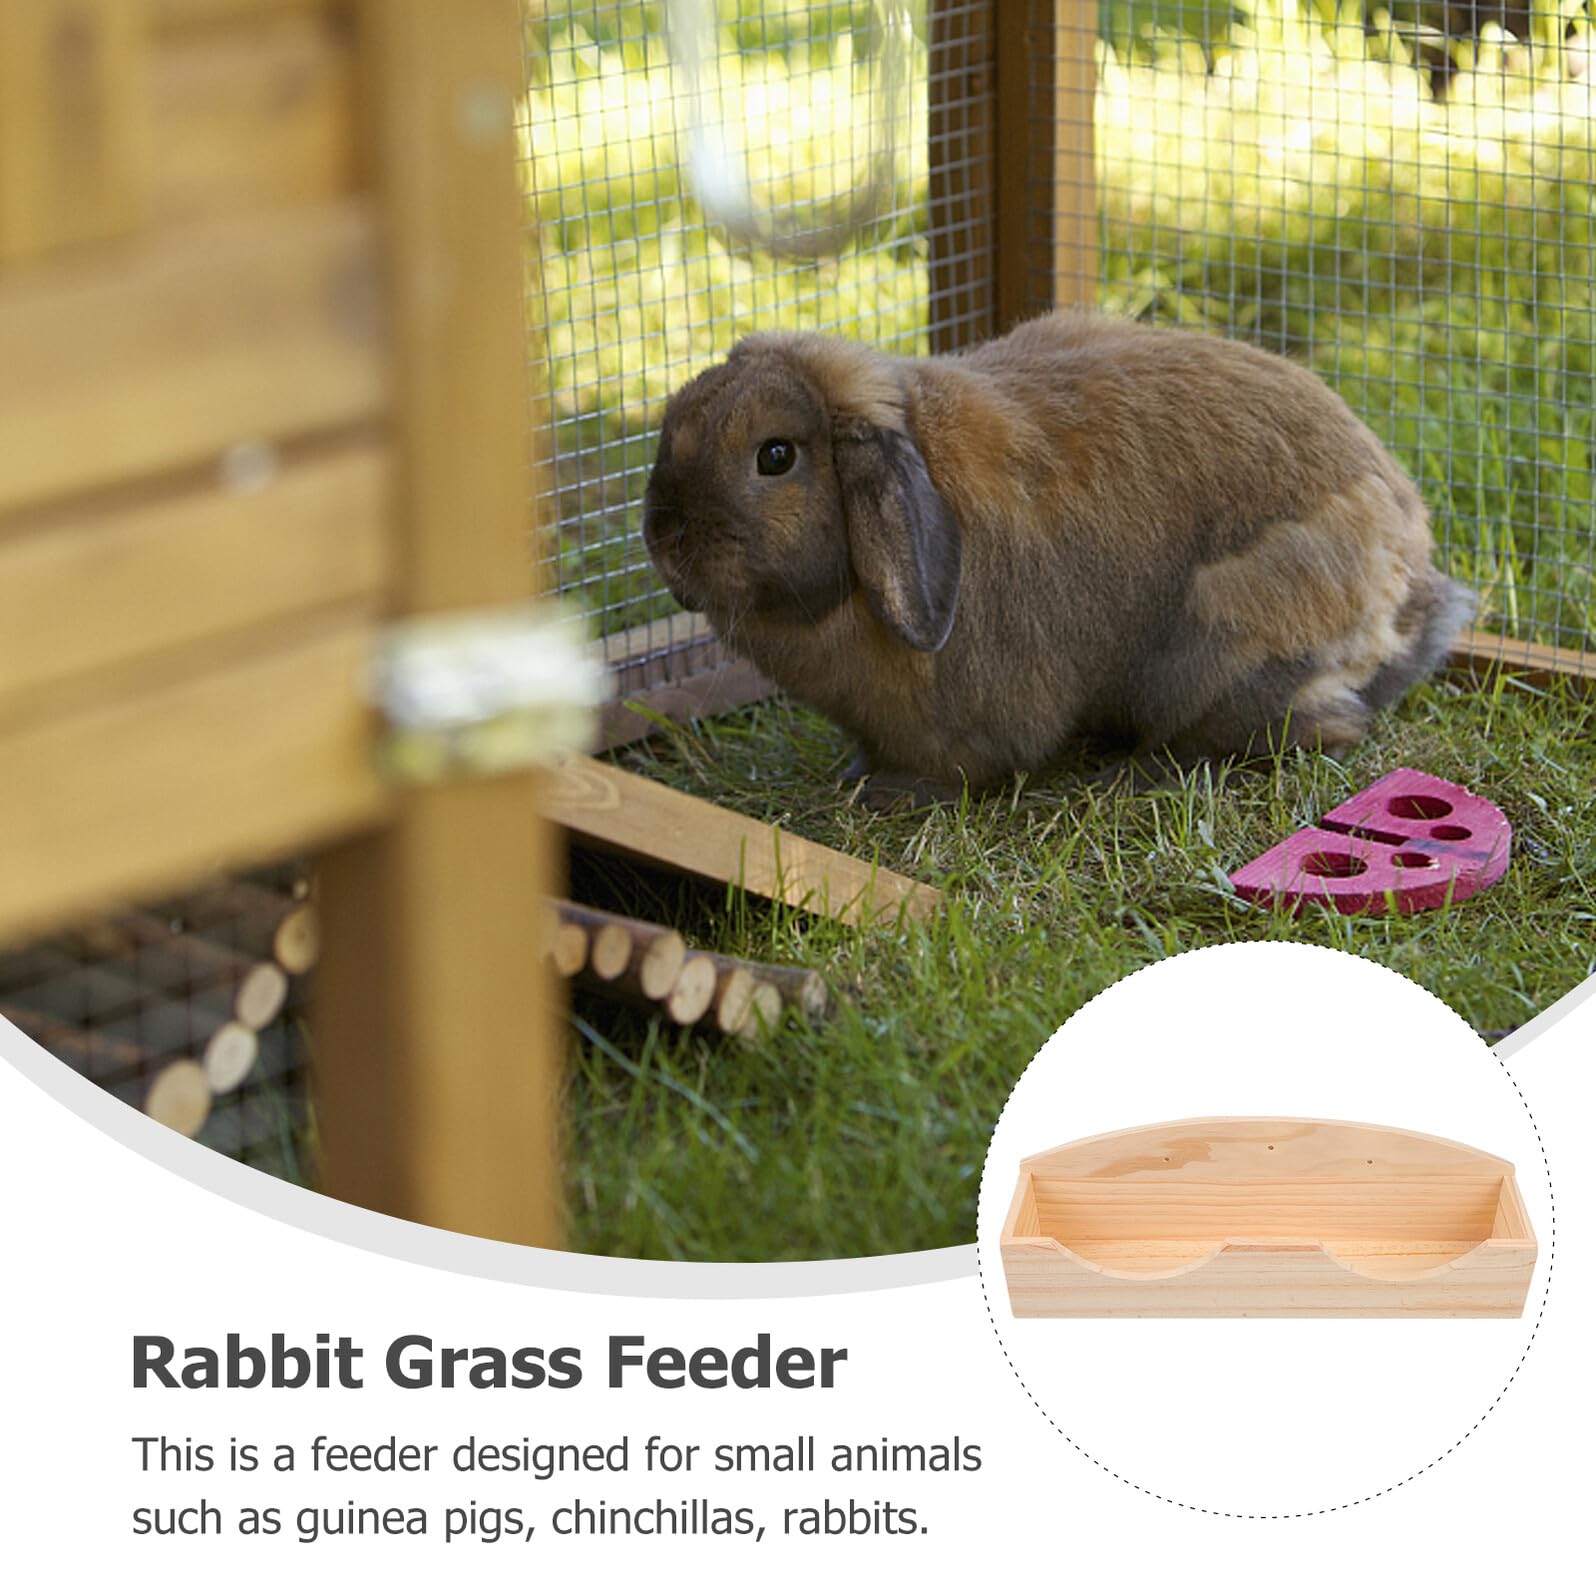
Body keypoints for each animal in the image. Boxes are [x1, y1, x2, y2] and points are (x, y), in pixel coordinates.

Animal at [641, 311, 1475, 807]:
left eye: (775, 456)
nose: (663, 538)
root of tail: (1410, 587)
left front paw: (885, 792)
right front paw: (854, 773)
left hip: (1225, 645)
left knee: (1319, 727)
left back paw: (1140, 771)